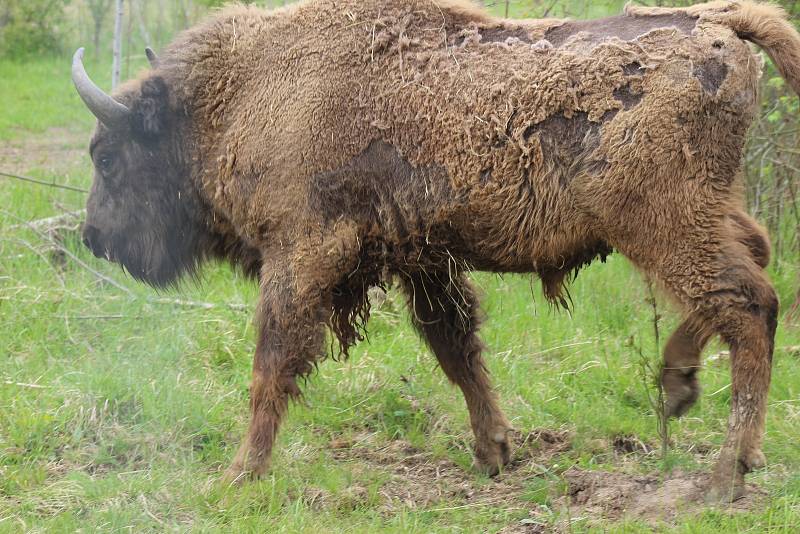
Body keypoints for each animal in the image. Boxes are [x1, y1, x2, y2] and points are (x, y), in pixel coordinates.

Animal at [72, 0, 800, 502]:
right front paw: (495, 452)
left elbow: (271, 366)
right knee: (753, 263)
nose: (94, 237)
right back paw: (679, 388)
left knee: (749, 305)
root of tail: (719, 24)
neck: (242, 93)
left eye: (108, 157)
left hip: (662, 224)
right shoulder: (423, 262)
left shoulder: (302, 255)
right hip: (700, 213)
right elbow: (457, 351)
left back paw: (725, 474)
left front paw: (238, 477)